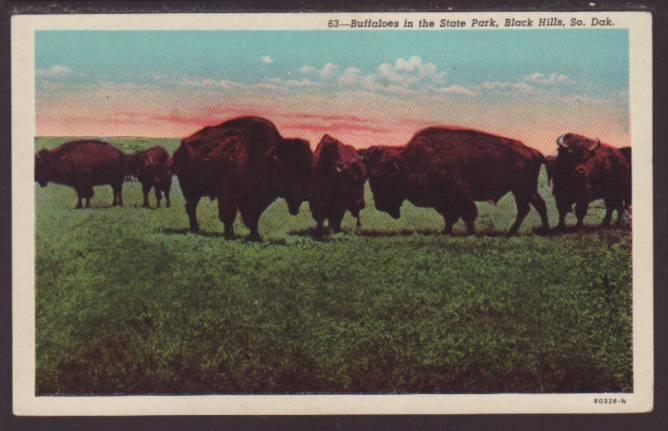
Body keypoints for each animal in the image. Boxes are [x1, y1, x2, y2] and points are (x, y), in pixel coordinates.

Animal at [171, 116, 312, 241]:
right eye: (290, 169)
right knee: (191, 207)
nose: (306, 193)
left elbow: (252, 216)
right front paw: (230, 235)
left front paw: (255, 236)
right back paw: (195, 228)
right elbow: (229, 215)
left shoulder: (253, 199)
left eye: (308, 168)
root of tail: (180, 148)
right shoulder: (228, 194)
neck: (265, 157)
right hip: (191, 190)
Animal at [366, 126, 548, 236]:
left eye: (382, 177)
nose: (379, 205)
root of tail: (532, 151)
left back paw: (514, 232)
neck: (408, 162)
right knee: (536, 206)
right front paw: (446, 231)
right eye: (371, 177)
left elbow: (467, 213)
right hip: (526, 190)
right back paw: (534, 231)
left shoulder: (460, 194)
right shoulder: (443, 201)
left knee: (527, 208)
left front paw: (470, 233)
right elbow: (450, 217)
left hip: (522, 189)